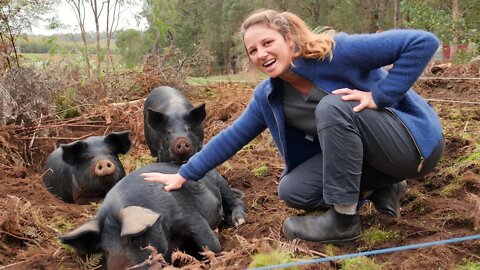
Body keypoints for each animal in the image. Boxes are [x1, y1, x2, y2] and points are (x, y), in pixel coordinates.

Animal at [58, 161, 248, 268]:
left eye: (132, 239)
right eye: (104, 249)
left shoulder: (187, 215)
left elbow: (208, 241)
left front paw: (217, 258)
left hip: (220, 181)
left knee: (235, 201)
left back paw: (238, 221)